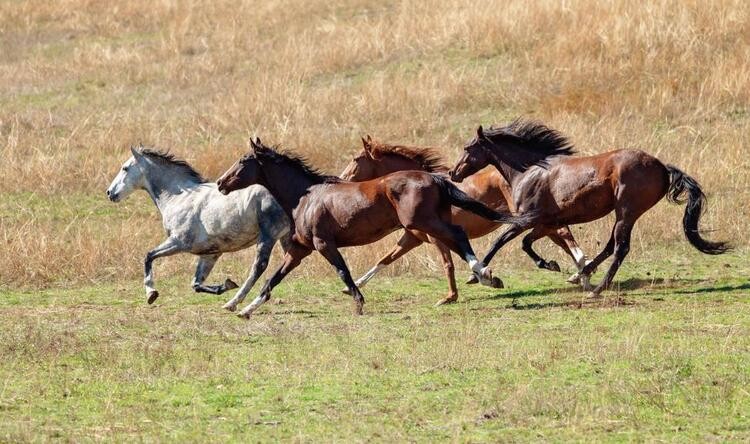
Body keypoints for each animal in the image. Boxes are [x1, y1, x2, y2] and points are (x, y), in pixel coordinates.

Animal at [106, 146, 290, 308]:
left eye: (125, 168)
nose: (109, 193)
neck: (177, 197)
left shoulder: (178, 242)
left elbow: (148, 256)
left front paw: (151, 293)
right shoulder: (210, 254)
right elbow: (196, 284)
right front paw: (227, 284)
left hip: (268, 236)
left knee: (259, 266)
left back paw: (233, 303)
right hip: (286, 237)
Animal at [217, 138, 528, 316]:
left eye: (243, 161)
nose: (221, 183)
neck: (305, 196)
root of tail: (435, 179)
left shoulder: (323, 244)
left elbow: (343, 271)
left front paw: (358, 302)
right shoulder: (300, 250)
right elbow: (273, 279)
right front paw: (245, 309)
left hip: (423, 223)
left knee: (459, 237)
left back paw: (484, 274)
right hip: (425, 226)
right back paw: (486, 275)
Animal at [340, 135, 592, 306]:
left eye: (356, 158)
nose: (341, 178)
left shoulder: (436, 236)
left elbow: (448, 264)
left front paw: (451, 296)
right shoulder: (413, 237)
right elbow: (385, 259)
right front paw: (355, 286)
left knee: (562, 234)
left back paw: (580, 272)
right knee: (560, 235)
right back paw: (579, 273)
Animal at [450, 119, 732, 296]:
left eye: (467, 147)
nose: (454, 173)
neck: (530, 171)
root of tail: (662, 166)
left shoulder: (527, 219)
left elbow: (500, 242)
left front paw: (481, 276)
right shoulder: (546, 223)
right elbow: (526, 244)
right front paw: (552, 265)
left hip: (626, 212)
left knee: (620, 248)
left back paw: (597, 289)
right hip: (624, 214)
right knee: (610, 246)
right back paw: (582, 274)